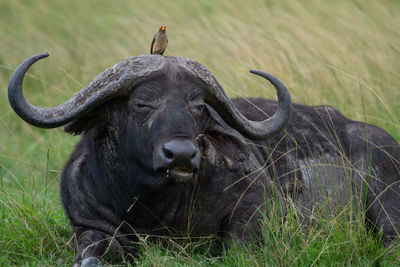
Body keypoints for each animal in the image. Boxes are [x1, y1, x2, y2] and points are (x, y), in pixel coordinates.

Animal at [7, 53, 398, 266]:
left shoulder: (258, 207)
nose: (180, 154)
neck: (154, 208)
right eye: (142, 103)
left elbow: (237, 248)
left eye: (197, 106)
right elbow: (90, 250)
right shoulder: (87, 222)